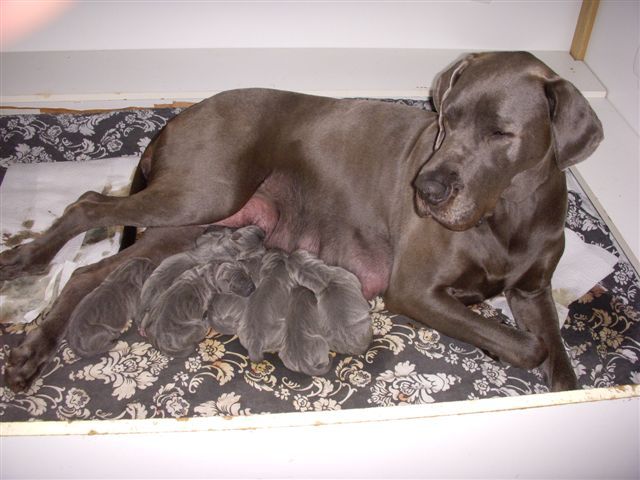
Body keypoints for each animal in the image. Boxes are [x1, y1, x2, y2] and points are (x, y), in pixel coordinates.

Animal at [0, 51, 603, 392]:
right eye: (446, 119)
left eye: (502, 133)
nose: (426, 189)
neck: (508, 213)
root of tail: (178, 118)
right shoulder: (416, 290)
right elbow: (529, 345)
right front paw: (498, 344)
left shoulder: (533, 291)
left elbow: (558, 358)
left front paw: (568, 391)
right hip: (201, 192)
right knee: (86, 206)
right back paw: (26, 267)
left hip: (193, 222)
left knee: (90, 273)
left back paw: (34, 347)